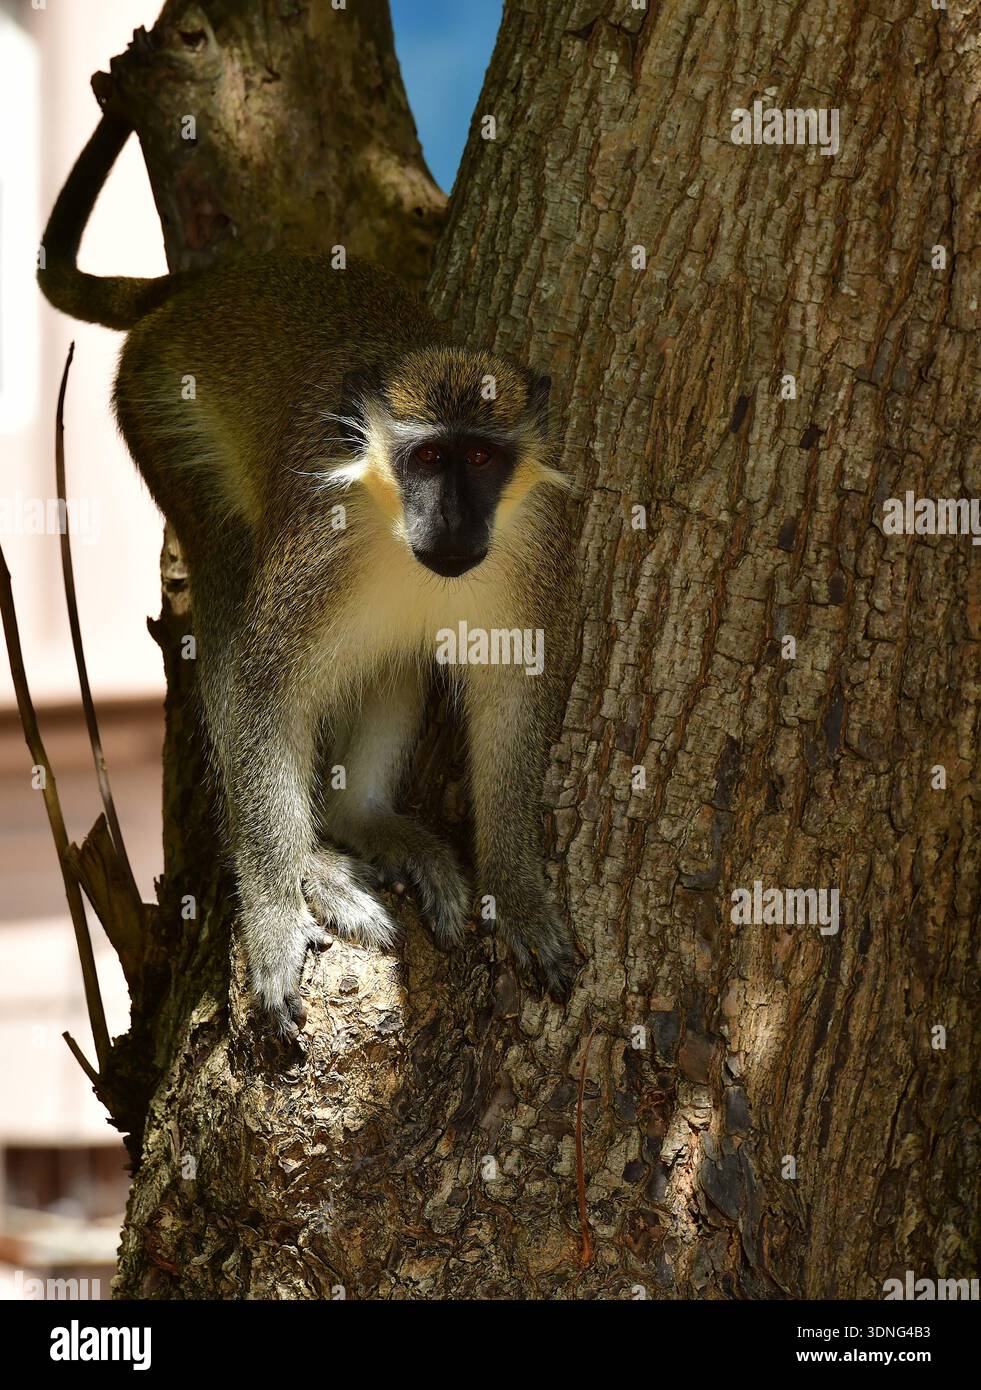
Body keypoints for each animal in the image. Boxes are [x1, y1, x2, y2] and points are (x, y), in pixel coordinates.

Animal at [39, 115, 580, 1037]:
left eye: (479, 459)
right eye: (427, 458)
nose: (453, 522)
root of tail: (200, 288)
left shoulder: (533, 549)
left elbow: (511, 701)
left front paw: (518, 889)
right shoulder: (316, 546)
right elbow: (259, 693)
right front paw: (273, 911)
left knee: (394, 656)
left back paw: (366, 823)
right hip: (160, 414)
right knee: (227, 590)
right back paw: (311, 866)